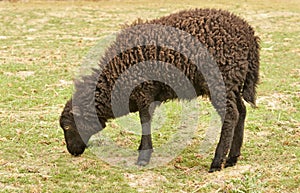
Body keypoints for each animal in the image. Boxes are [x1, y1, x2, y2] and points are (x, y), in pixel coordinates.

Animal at [59, 8, 260, 172]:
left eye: (67, 126)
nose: (72, 152)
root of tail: (248, 33)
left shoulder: (143, 93)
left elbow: (145, 123)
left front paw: (143, 158)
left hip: (221, 82)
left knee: (230, 116)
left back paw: (217, 162)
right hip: (233, 83)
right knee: (241, 112)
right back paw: (233, 158)